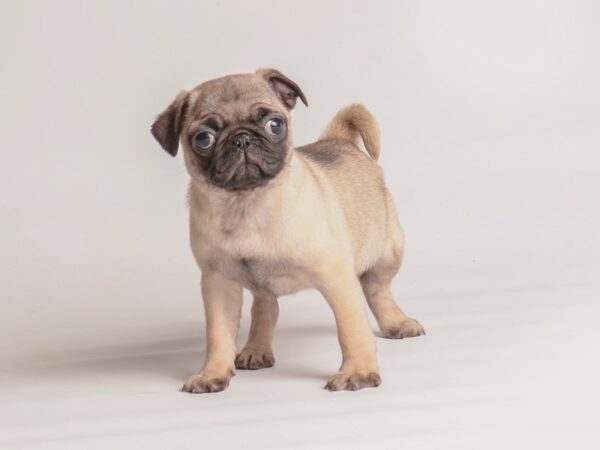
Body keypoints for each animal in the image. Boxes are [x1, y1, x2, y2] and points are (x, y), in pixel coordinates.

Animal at [150, 68, 424, 392]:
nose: (242, 139)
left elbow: (351, 329)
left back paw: (396, 323)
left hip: (388, 251)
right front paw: (212, 373)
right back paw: (256, 349)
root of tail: (338, 139)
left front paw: (357, 371)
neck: (246, 202)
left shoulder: (336, 278)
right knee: (266, 307)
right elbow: (218, 335)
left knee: (377, 290)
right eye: (204, 138)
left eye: (275, 124)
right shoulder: (219, 283)